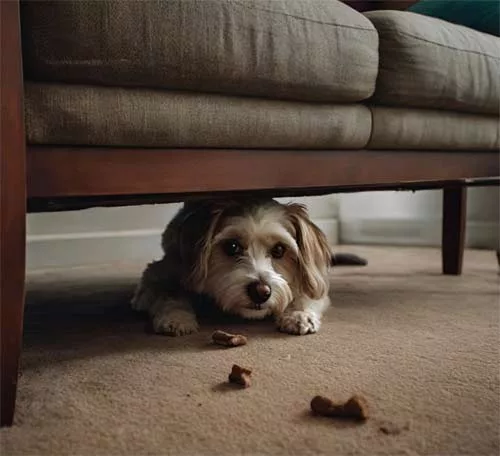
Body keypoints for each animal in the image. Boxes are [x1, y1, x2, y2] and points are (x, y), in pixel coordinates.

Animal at [131, 198, 366, 336]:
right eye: (232, 246)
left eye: (279, 250)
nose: (261, 292)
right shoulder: (161, 271)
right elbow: (170, 292)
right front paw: (176, 317)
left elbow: (307, 293)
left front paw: (298, 314)